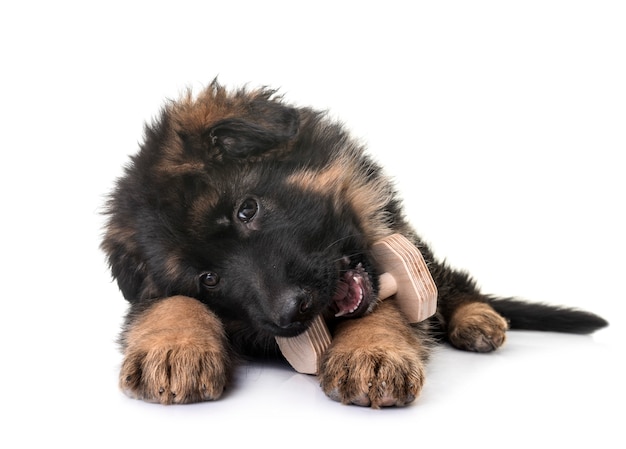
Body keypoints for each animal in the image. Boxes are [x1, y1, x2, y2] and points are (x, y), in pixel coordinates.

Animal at [101, 79, 604, 406]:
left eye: (247, 209)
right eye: (208, 278)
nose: (290, 313)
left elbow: (386, 306)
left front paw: (371, 351)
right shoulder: (149, 295)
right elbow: (165, 303)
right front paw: (173, 347)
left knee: (453, 283)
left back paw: (477, 318)